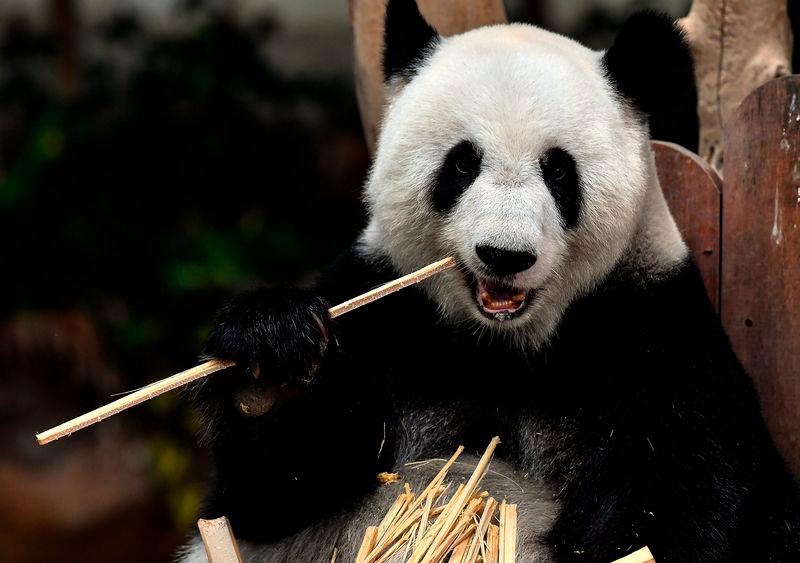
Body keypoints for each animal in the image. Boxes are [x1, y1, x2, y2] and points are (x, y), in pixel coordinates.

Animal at [180, 1, 800, 561]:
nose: (504, 255)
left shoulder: (651, 331)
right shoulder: (384, 309)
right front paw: (271, 366)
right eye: (462, 163)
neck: (503, 345)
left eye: (558, 170)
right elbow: (269, 498)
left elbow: (693, 499)